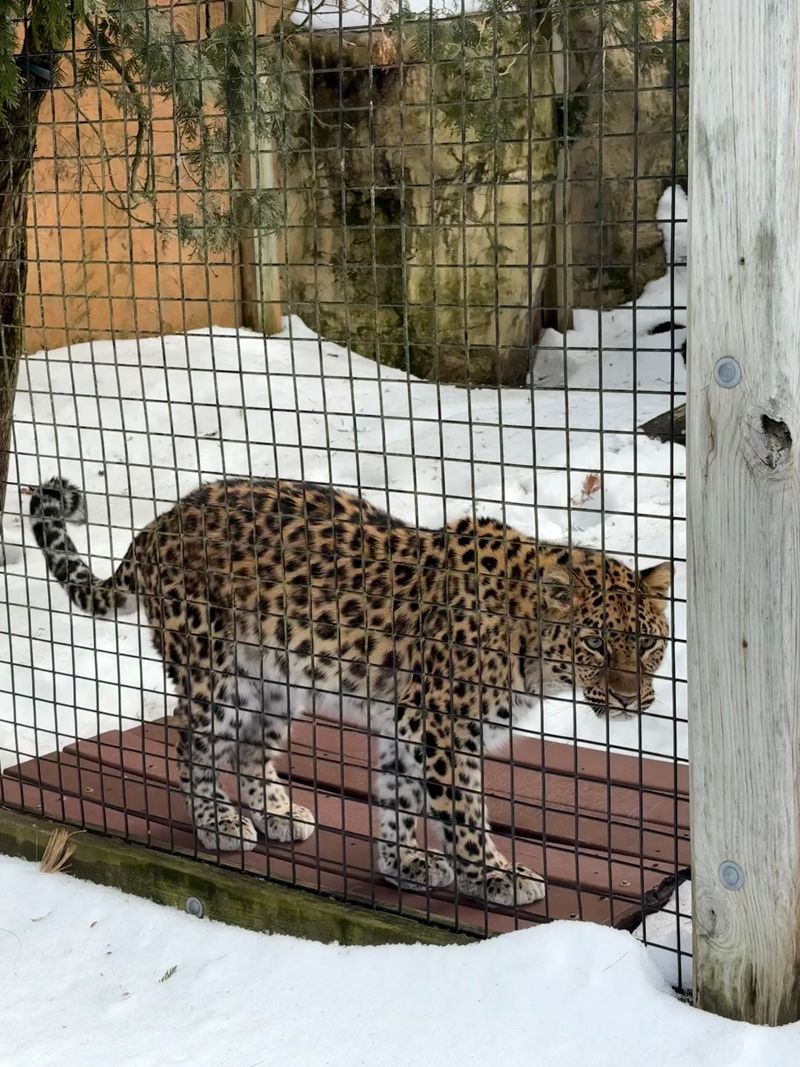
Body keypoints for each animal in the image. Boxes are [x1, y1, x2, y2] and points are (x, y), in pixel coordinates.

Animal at [30, 475, 671, 908]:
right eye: (594, 643)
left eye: (645, 644)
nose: (627, 699)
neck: (528, 647)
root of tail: (156, 526)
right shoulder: (443, 729)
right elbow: (465, 814)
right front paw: (495, 876)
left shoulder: (408, 724)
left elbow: (399, 798)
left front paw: (403, 864)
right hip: (216, 676)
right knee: (192, 749)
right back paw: (219, 825)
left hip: (275, 684)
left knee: (249, 751)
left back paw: (278, 813)